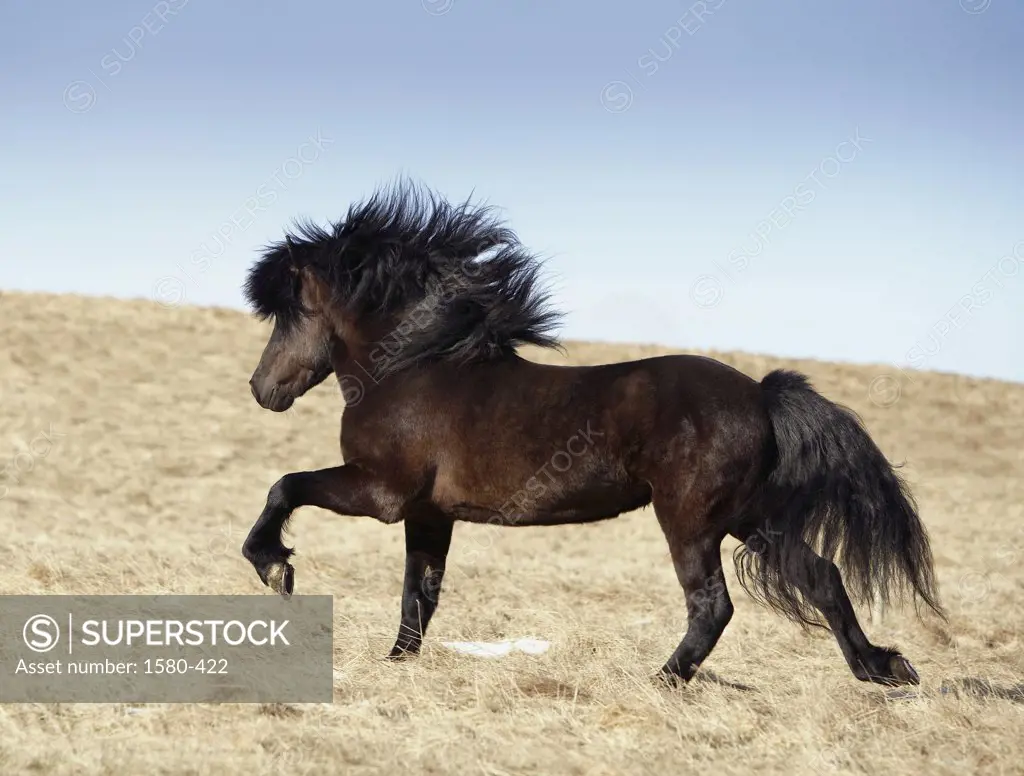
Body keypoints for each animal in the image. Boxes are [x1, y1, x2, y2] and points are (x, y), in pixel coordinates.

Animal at [239, 181, 942, 687]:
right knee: (822, 577)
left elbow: (285, 487)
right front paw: (396, 662)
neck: (417, 365)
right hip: (751, 518)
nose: (261, 388)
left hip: (691, 521)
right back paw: (883, 669)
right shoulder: (427, 513)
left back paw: (661, 681)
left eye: (289, 310)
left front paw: (275, 568)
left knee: (713, 605)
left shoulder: (381, 492)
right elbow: (420, 594)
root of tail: (762, 397)